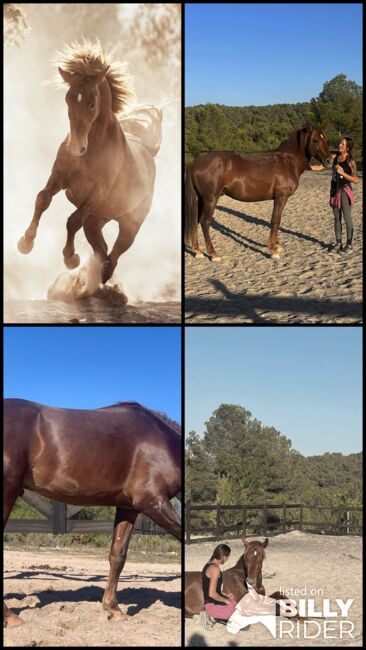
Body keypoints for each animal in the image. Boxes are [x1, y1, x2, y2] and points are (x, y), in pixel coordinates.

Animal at [2, 398, 180, 624]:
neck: (163, 442)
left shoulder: (128, 507)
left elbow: (118, 555)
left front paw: (114, 609)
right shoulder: (153, 501)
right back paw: (11, 617)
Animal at [16, 39, 161, 284]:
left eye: (92, 103)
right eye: (68, 99)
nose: (75, 147)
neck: (92, 150)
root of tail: (149, 154)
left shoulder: (97, 192)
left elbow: (72, 220)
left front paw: (70, 258)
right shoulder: (59, 177)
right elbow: (42, 199)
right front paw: (26, 243)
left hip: (129, 225)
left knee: (114, 254)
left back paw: (100, 278)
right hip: (96, 220)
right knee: (102, 249)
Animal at [186, 123, 332, 258]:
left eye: (326, 139)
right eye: (315, 140)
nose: (329, 161)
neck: (287, 161)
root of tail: (195, 163)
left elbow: (278, 219)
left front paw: (277, 246)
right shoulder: (281, 197)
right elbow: (275, 220)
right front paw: (273, 250)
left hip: (202, 199)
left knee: (196, 221)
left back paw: (198, 251)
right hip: (211, 199)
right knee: (205, 222)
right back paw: (213, 254)